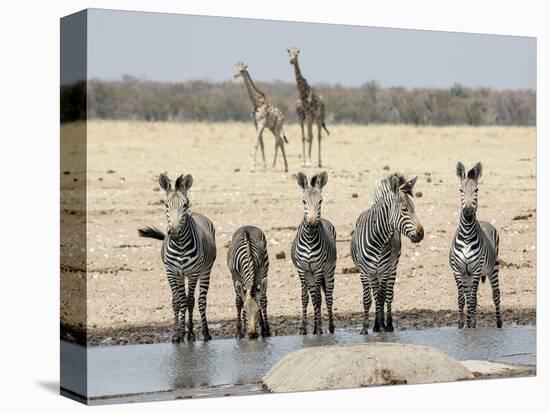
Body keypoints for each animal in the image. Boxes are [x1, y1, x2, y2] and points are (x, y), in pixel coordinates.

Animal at [138, 173, 218, 342]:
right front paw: (177, 333)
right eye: (165, 205)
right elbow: (178, 302)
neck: (180, 246)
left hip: (205, 271)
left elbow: (189, 301)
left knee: (200, 301)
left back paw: (204, 333)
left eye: (185, 205)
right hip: (180, 275)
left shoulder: (193, 273)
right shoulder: (172, 272)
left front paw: (189, 333)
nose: (174, 233)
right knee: (181, 300)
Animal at [292, 170, 338, 334]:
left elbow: (318, 298)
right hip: (309, 273)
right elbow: (305, 297)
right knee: (313, 296)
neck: (310, 239)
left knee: (328, 297)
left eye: (321, 201)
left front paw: (318, 330)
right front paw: (303, 328)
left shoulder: (318, 268)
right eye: (303, 202)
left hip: (329, 270)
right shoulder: (302, 268)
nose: (312, 224)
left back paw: (329, 327)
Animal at [352, 173, 424, 334]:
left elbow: (382, 297)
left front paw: (382, 325)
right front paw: (366, 327)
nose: (421, 233)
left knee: (388, 295)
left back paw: (388, 324)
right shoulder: (364, 271)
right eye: (404, 209)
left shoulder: (385, 270)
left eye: (414, 208)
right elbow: (368, 299)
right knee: (375, 294)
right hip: (373, 272)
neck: (378, 241)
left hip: (392, 267)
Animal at [450, 163, 502, 328]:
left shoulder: (476, 270)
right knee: (471, 297)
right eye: (460, 190)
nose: (467, 212)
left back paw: (499, 323)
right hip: (469, 275)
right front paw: (462, 325)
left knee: (496, 295)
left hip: (493, 268)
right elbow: (462, 300)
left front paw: (470, 327)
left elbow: (472, 301)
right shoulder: (458, 271)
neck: (466, 235)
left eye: (476, 190)